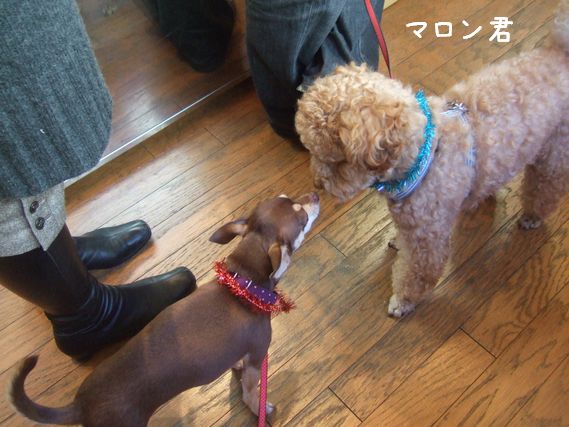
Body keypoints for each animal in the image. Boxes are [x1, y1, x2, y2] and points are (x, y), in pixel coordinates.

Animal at [8, 193, 320, 426]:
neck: (242, 284)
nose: (316, 195)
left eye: (287, 197)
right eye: (302, 217)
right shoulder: (258, 355)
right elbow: (250, 393)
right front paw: (260, 409)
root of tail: (80, 405)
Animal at [295, 1, 569, 317]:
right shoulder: (410, 223)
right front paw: (396, 242)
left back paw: (532, 216)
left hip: (554, 154)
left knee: (545, 188)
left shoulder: (427, 239)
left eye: (337, 162)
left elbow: (417, 274)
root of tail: (560, 54)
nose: (317, 184)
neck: (424, 155)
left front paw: (401, 302)